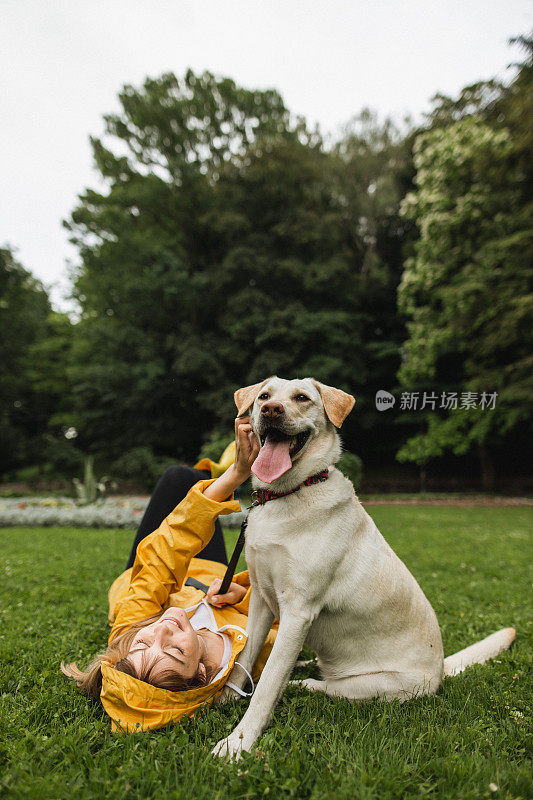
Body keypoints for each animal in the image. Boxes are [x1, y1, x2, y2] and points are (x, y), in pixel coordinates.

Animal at [211, 378, 512, 760]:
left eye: (301, 398)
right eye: (264, 396)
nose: (271, 410)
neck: (288, 494)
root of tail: (442, 669)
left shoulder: (297, 611)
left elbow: (266, 687)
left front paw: (238, 742)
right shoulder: (262, 601)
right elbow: (245, 658)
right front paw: (224, 700)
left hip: (369, 686)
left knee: (320, 685)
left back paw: (300, 680)